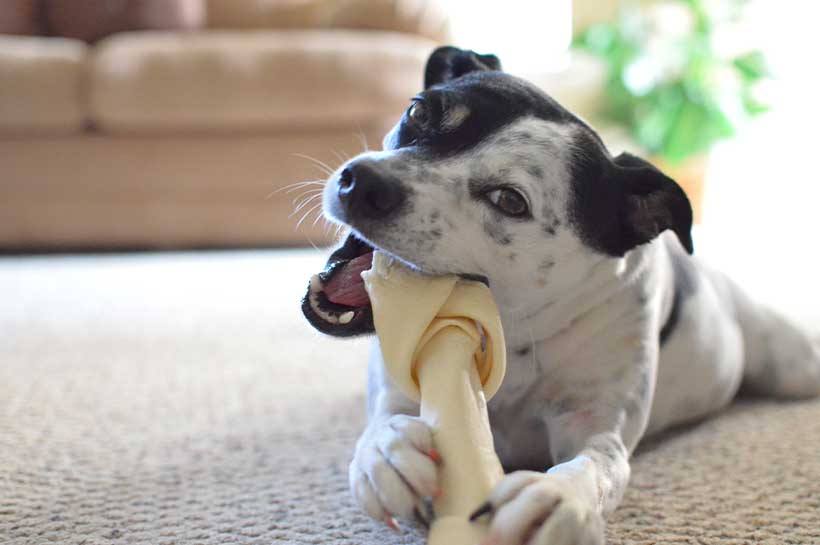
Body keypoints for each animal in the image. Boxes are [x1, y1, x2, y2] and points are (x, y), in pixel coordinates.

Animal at [302, 47, 820, 544]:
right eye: (419, 111)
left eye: (510, 200)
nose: (362, 181)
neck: (514, 333)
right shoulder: (400, 385)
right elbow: (384, 420)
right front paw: (389, 451)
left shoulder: (596, 425)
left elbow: (597, 464)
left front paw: (555, 497)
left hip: (793, 367)